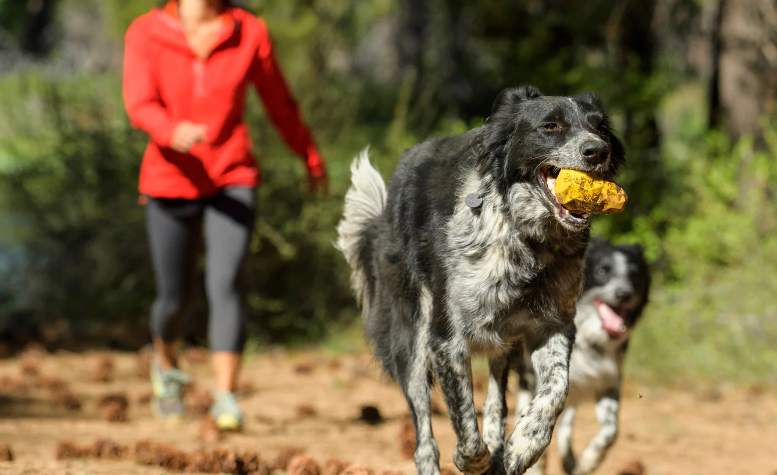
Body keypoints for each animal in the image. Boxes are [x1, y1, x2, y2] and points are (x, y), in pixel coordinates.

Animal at [338, 85, 624, 475]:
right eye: (550, 126)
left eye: (601, 128)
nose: (598, 150)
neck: (526, 239)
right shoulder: (446, 340)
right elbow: (464, 424)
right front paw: (472, 460)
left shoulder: (554, 325)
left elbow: (555, 390)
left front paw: (523, 445)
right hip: (412, 339)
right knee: (424, 439)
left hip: (501, 341)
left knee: (494, 401)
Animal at [512, 240, 652, 474]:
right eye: (603, 271)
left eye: (634, 275)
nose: (624, 294)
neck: (590, 340)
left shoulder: (608, 381)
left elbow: (611, 430)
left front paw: (588, 461)